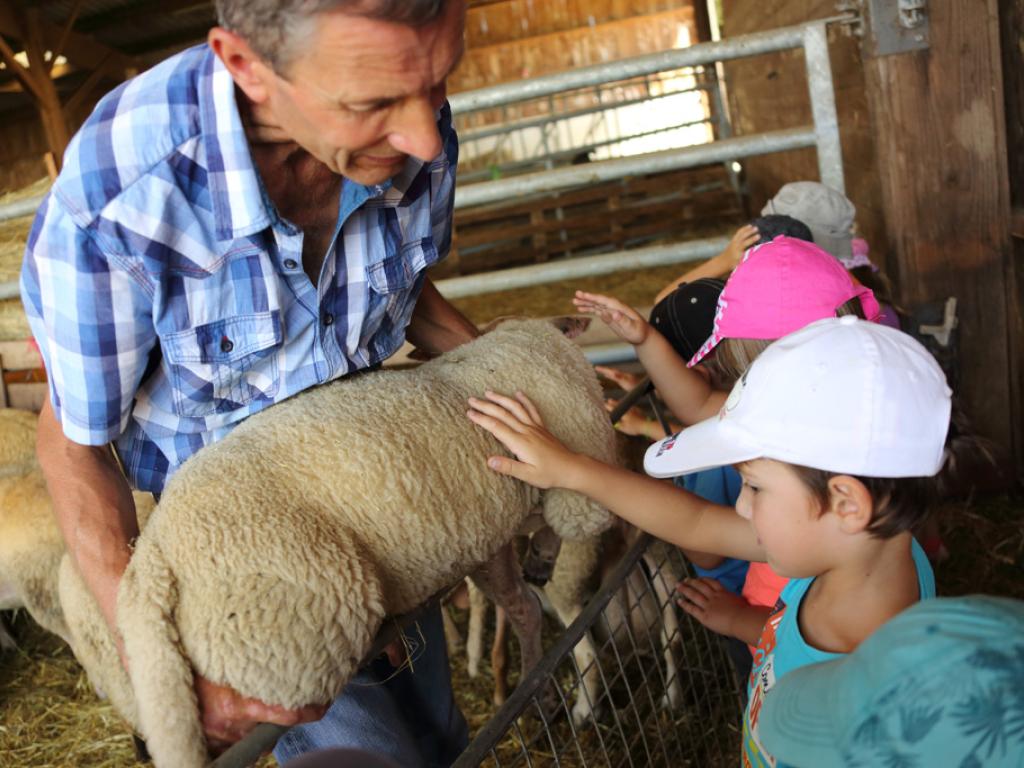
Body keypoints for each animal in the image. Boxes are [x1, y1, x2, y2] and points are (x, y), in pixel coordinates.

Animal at [58, 319, 614, 768]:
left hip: (480, 539)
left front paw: (543, 556)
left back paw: (538, 678)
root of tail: (152, 560)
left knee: (523, 604)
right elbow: (571, 510)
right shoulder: (567, 470)